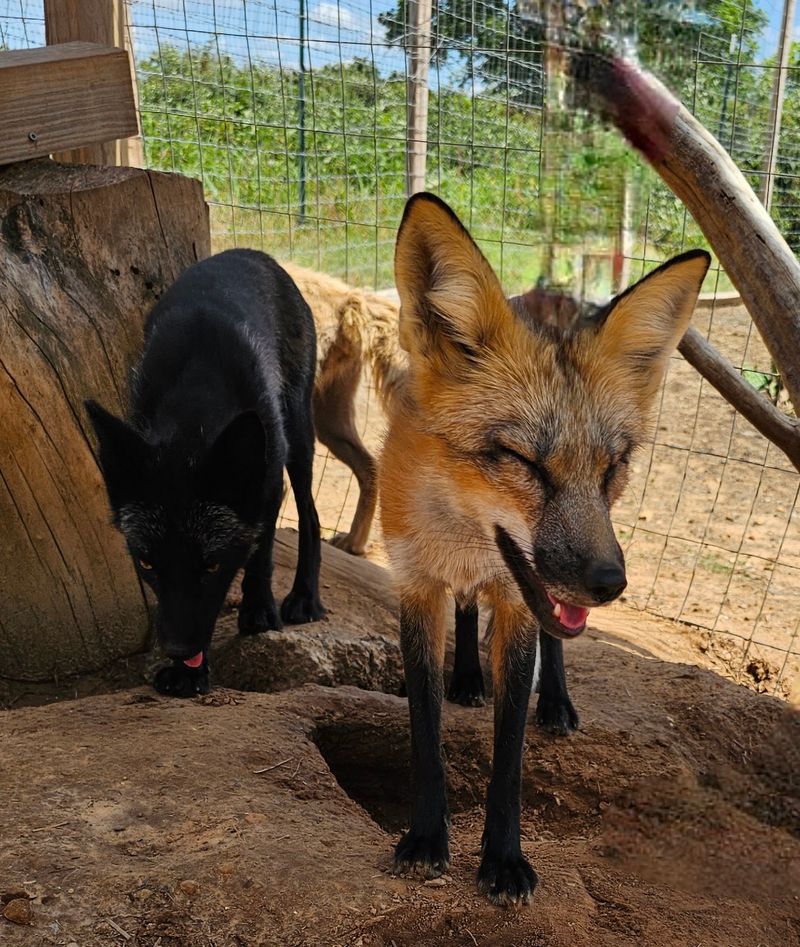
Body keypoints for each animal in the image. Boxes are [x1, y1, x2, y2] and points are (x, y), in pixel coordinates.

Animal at [86, 250, 326, 698]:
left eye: (212, 566)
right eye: (147, 564)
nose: (179, 651)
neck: (195, 406)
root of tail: (251, 253)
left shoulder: (268, 483)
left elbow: (261, 551)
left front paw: (258, 609)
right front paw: (189, 674)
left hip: (298, 431)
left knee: (310, 511)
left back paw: (304, 596)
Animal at [379, 192, 709, 905]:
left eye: (613, 467)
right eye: (525, 462)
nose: (610, 583)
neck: (466, 540)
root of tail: (551, 295)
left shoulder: (518, 602)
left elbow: (510, 750)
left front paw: (503, 859)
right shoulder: (417, 584)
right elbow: (424, 728)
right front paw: (426, 837)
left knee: (553, 642)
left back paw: (555, 702)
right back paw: (468, 680)